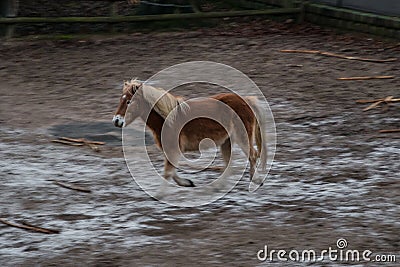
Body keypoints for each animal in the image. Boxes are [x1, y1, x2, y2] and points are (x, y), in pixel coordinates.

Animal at [112, 79, 268, 191]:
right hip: (226, 141)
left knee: (252, 155)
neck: (167, 118)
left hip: (242, 137)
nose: (116, 121)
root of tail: (246, 101)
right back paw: (219, 186)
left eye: (129, 101)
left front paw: (160, 195)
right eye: (120, 100)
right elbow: (171, 171)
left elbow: (167, 173)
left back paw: (255, 180)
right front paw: (187, 183)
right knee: (230, 162)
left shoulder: (173, 149)